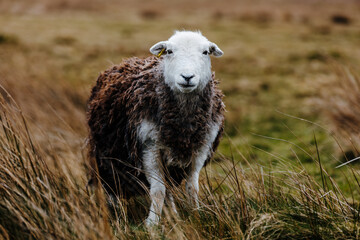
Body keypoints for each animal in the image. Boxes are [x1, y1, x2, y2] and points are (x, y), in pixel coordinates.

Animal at [86, 30, 224, 225]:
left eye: (205, 52)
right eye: (169, 51)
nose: (187, 77)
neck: (183, 128)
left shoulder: (201, 148)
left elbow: (192, 188)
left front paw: (197, 216)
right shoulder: (149, 147)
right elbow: (158, 190)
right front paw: (152, 224)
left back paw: (173, 214)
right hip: (106, 154)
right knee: (111, 183)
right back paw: (114, 212)